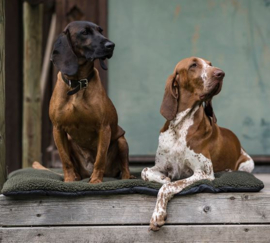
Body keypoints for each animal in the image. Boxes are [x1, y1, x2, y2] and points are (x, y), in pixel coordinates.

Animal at [38, 21, 133, 184]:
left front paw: (95, 181)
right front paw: (69, 180)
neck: (77, 83)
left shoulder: (104, 128)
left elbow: (100, 158)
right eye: (84, 32)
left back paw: (126, 177)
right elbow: (65, 160)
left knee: (124, 165)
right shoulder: (58, 129)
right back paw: (77, 176)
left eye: (100, 31)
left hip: (121, 140)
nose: (111, 45)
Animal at [142, 57, 254, 232]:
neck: (180, 127)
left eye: (210, 64)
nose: (221, 73)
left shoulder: (203, 173)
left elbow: (169, 187)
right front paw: (163, 178)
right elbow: (146, 171)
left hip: (248, 163)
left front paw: (158, 215)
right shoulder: (160, 165)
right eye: (193, 65)